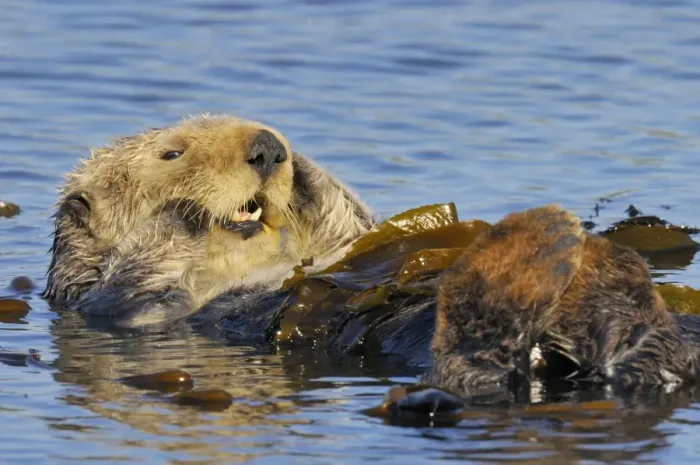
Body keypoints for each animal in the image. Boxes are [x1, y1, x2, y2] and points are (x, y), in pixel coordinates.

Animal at [43, 115, 374, 327]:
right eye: (172, 153)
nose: (268, 148)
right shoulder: (119, 307)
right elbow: (136, 287)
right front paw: (185, 208)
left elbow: (354, 227)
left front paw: (301, 170)